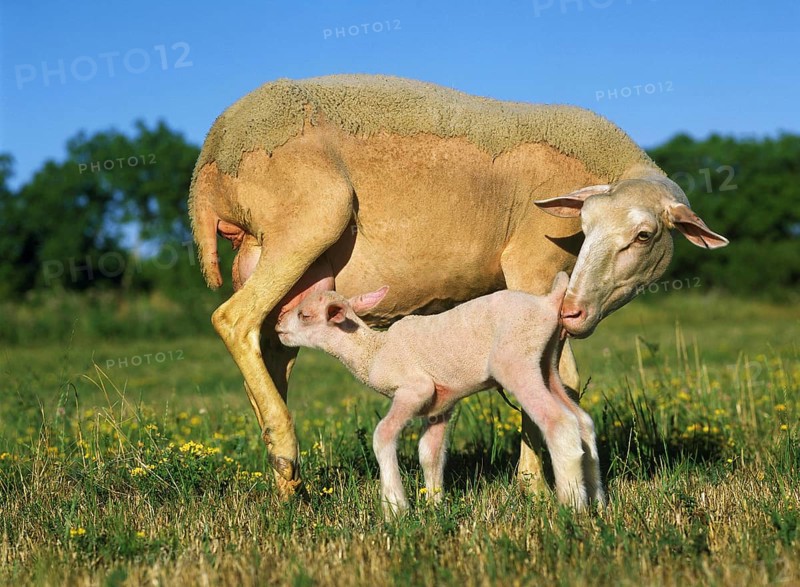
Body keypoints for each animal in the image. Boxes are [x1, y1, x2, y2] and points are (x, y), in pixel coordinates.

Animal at [275, 272, 605, 515]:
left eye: (304, 315)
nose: (278, 326)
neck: (373, 352)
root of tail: (547, 304)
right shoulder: (441, 404)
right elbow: (429, 453)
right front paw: (434, 504)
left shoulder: (415, 388)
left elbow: (383, 434)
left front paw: (395, 507)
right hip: (547, 362)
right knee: (583, 421)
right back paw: (597, 500)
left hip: (516, 360)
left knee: (559, 422)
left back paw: (572, 505)